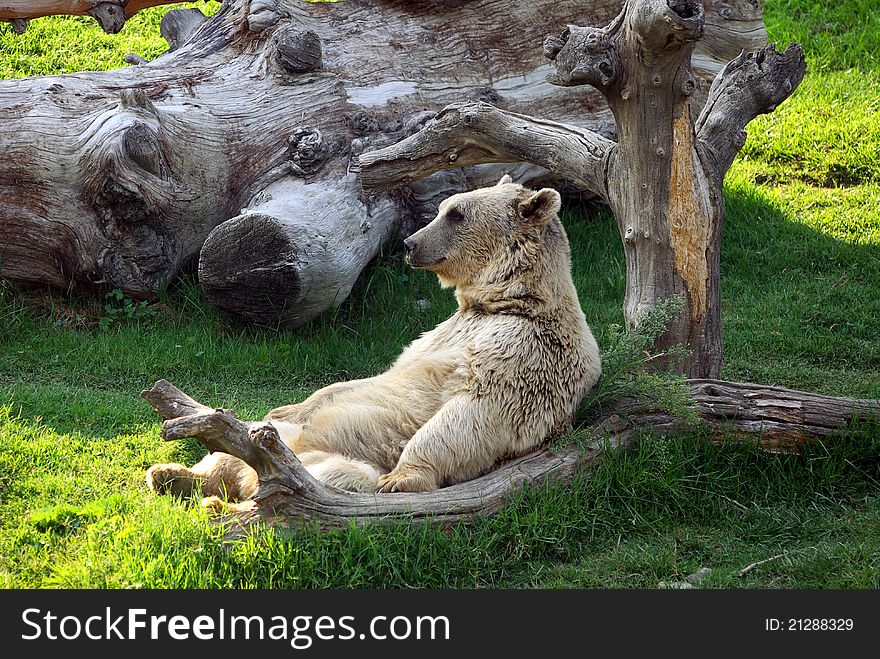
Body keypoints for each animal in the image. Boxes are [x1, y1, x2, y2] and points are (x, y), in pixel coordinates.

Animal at [146, 175, 600, 500]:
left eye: (456, 213)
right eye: (443, 207)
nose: (411, 243)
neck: (509, 302)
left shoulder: (524, 349)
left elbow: (476, 408)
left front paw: (402, 478)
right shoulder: (440, 334)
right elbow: (365, 379)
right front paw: (286, 405)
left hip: (327, 462)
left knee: (331, 477)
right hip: (281, 441)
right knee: (228, 454)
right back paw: (171, 474)